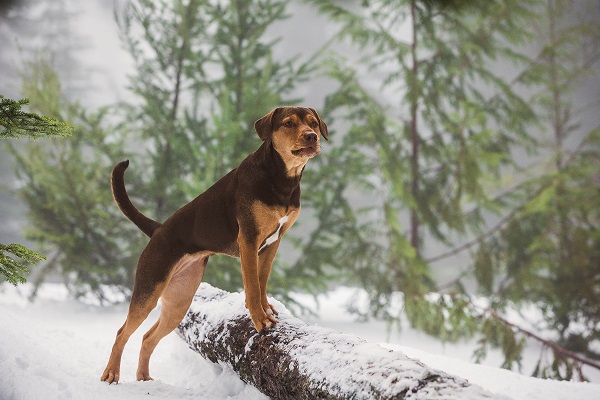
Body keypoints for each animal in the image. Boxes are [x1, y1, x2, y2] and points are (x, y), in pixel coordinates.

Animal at [101, 107, 330, 384]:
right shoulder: (249, 239)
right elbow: (252, 286)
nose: (311, 136)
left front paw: (268, 310)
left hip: (180, 300)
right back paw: (111, 373)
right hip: (149, 289)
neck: (281, 179)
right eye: (288, 123)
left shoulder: (273, 243)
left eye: (313, 123)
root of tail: (158, 230)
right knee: (122, 332)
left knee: (147, 337)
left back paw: (144, 377)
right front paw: (260, 319)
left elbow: (262, 281)